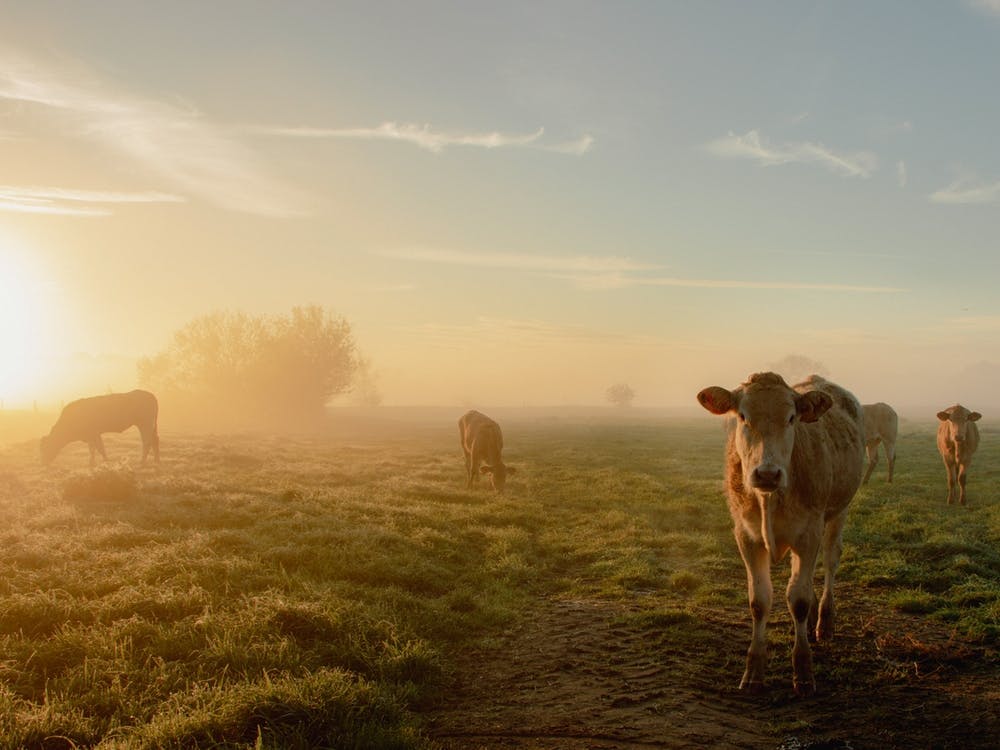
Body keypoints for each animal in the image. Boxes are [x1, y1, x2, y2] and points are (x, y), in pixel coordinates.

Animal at [697, 372, 864, 697]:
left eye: (791, 418)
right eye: (742, 416)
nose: (767, 473)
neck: (771, 499)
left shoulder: (809, 532)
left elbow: (797, 599)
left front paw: (803, 671)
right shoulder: (746, 536)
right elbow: (759, 600)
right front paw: (754, 671)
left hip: (839, 511)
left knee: (831, 560)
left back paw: (824, 621)